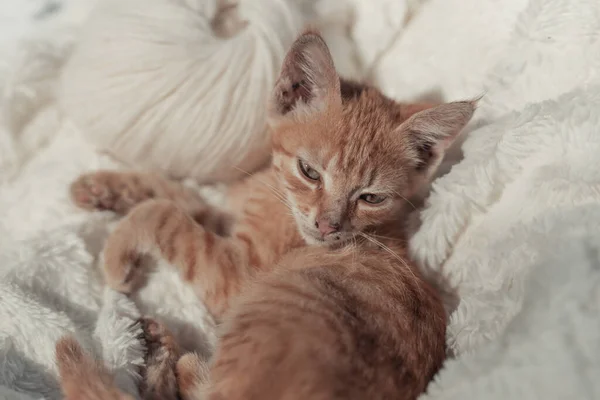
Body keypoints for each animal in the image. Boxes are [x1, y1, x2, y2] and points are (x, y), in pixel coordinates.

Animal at [58, 29, 476, 398]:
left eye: (371, 198)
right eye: (310, 172)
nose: (328, 226)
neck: (273, 188)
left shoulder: (236, 271)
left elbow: (163, 214)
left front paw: (116, 255)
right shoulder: (228, 217)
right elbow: (177, 196)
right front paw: (100, 187)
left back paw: (174, 358)